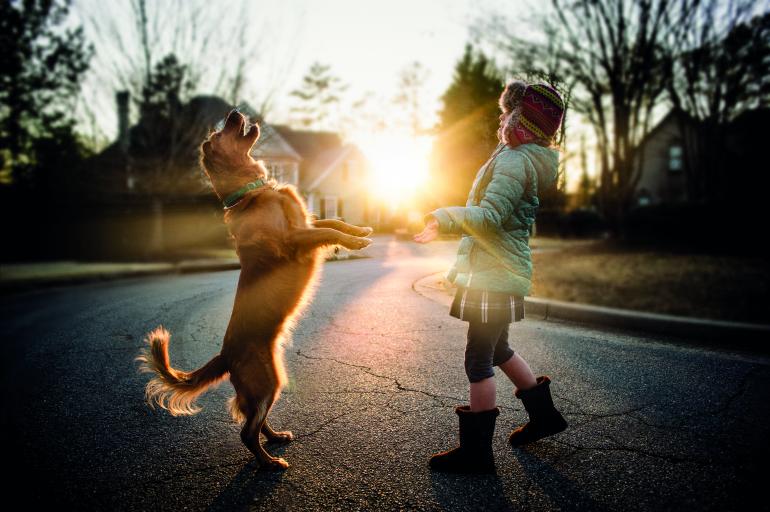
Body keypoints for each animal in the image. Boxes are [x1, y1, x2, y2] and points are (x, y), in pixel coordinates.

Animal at [137, 110, 372, 470]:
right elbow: (331, 230)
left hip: (270, 382)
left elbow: (335, 222)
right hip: (266, 382)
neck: (252, 191)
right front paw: (354, 243)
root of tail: (225, 356)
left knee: (256, 423)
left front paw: (359, 231)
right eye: (218, 133)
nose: (235, 113)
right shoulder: (293, 238)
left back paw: (276, 438)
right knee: (247, 432)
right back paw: (270, 463)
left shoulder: (305, 223)